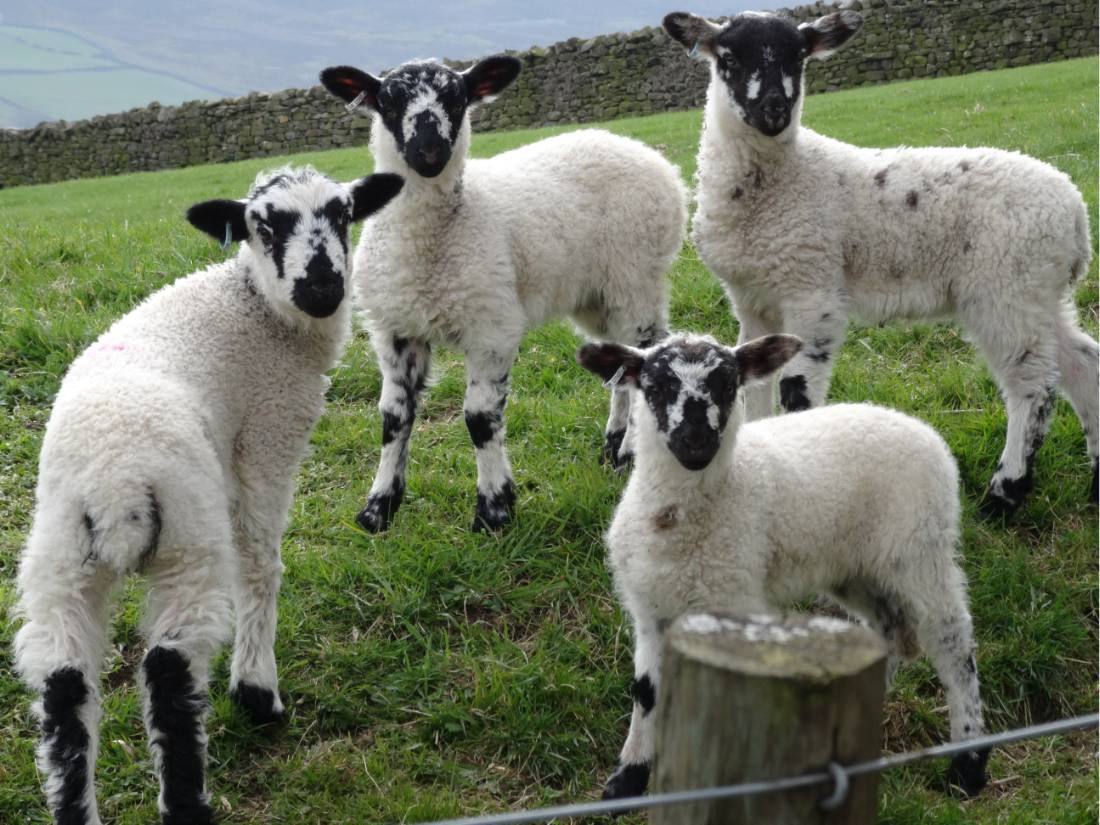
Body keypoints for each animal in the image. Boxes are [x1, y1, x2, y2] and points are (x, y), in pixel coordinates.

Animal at [10, 166, 407, 825]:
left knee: (62, 682)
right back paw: (188, 799)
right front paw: (255, 690)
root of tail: (113, 477)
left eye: (344, 213)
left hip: (59, 554)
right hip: (187, 536)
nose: (323, 286)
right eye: (263, 225)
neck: (259, 310)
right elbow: (260, 562)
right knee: (169, 671)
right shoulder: (268, 436)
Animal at [316, 59, 686, 536]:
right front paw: (378, 509)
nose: (429, 150)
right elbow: (393, 418)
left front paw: (493, 510)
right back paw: (613, 448)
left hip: (636, 277)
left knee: (646, 353)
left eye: (458, 99)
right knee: (620, 365)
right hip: (596, 296)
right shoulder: (396, 330)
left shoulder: (491, 325)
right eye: (388, 102)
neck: (430, 242)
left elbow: (479, 419)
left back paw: (629, 452)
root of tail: (651, 157)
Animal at [580, 332, 994, 805]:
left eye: (728, 385)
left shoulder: (735, 601)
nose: (696, 441)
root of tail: (920, 428)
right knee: (889, 629)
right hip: (855, 568)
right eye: (657, 386)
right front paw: (628, 779)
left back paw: (968, 763)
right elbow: (646, 692)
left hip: (919, 547)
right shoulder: (650, 608)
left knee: (952, 638)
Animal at [660, 9, 1100, 517]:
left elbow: (795, 387)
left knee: (1033, 386)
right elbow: (753, 386)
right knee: (1082, 364)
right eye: (728, 59)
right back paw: (1095, 481)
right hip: (1040, 290)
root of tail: (1075, 213)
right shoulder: (750, 299)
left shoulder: (814, 288)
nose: (774, 110)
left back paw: (1004, 493)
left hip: (1004, 287)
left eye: (799, 58)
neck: (780, 181)